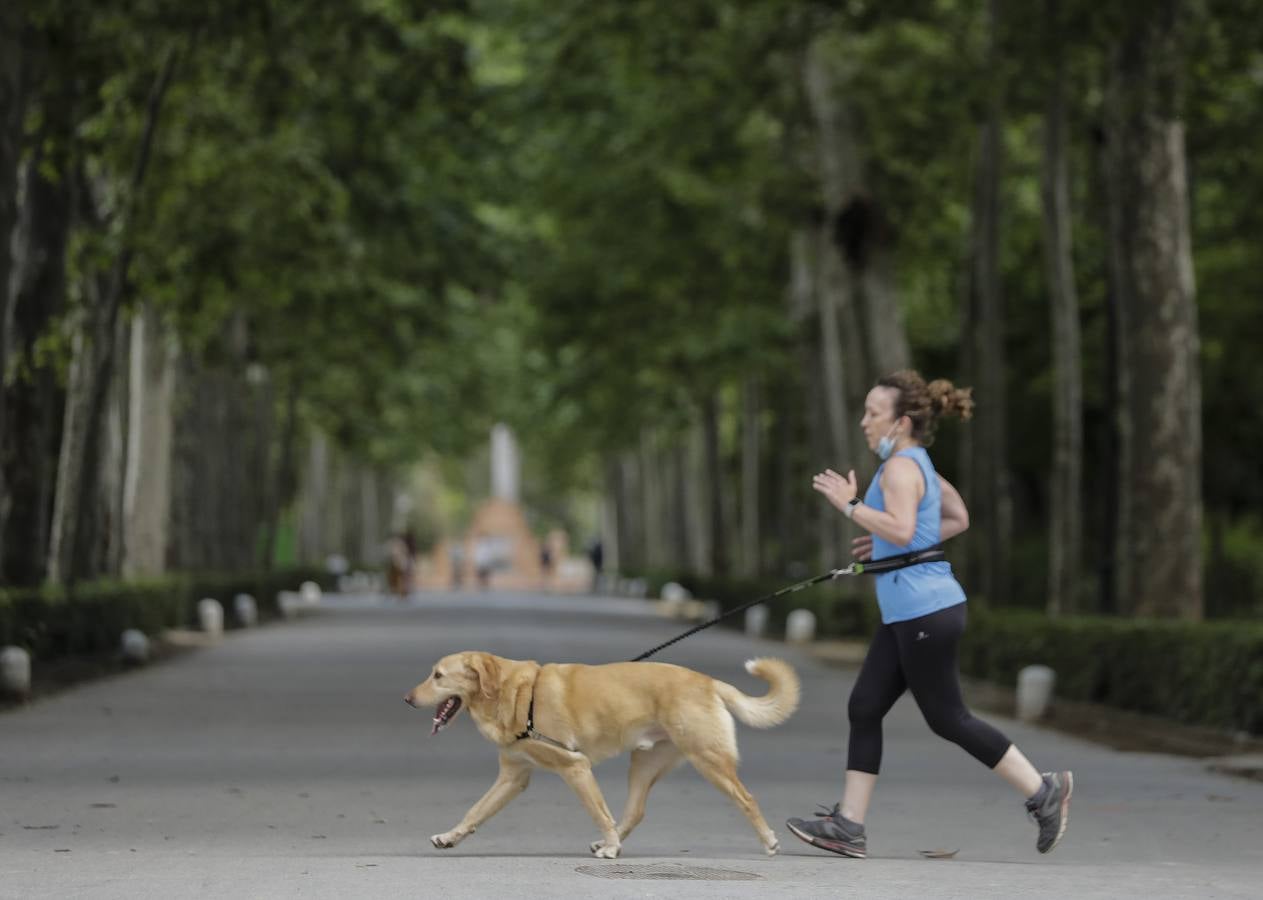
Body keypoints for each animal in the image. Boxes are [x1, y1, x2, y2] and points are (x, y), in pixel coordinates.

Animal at [404, 651, 798, 858]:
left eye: (437, 676)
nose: (406, 700)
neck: (513, 694)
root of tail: (707, 681)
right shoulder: (512, 777)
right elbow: (476, 810)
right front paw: (451, 836)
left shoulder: (575, 766)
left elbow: (598, 812)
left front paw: (610, 846)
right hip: (644, 763)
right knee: (635, 811)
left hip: (708, 759)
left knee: (746, 798)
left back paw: (768, 840)